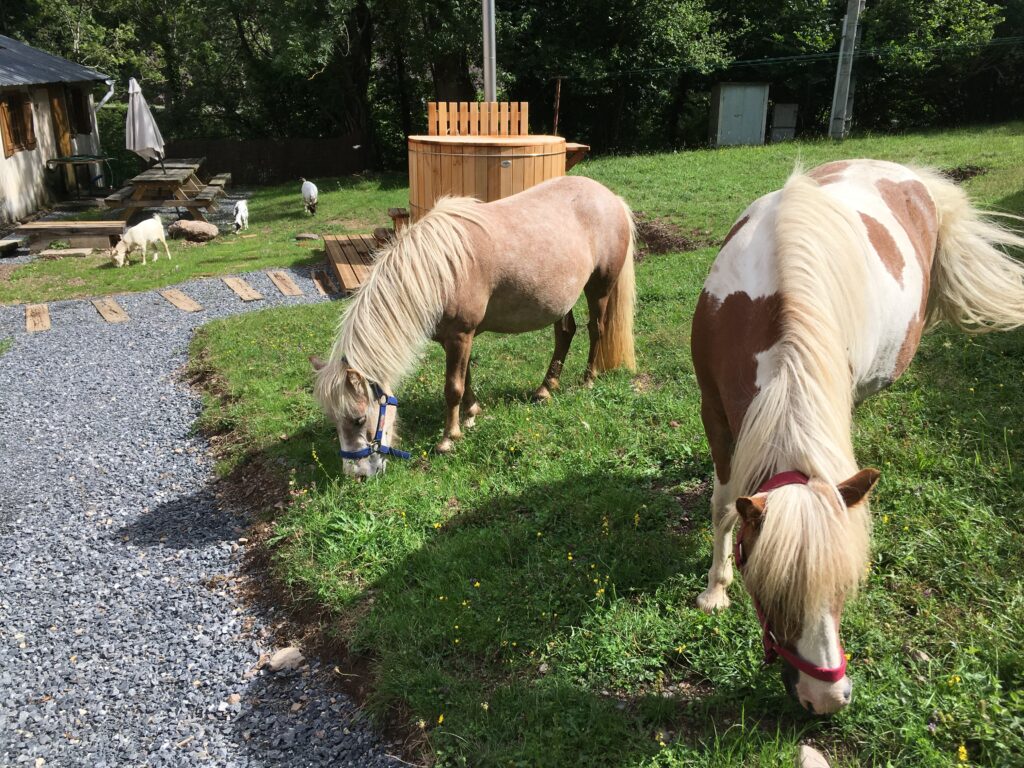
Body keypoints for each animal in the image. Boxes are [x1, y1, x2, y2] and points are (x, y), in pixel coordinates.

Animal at [311, 176, 634, 475]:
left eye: (358, 419)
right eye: (334, 421)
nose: (357, 475)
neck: (441, 269)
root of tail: (612, 198)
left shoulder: (460, 336)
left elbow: (452, 387)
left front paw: (448, 438)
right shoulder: (455, 339)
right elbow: (465, 378)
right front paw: (472, 412)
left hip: (599, 288)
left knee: (596, 330)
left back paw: (588, 379)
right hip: (561, 301)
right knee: (565, 334)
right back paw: (545, 389)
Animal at [688, 159, 1024, 720]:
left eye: (844, 591)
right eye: (771, 595)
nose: (827, 700)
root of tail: (908, 174)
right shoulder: (713, 409)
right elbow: (722, 505)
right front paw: (715, 591)